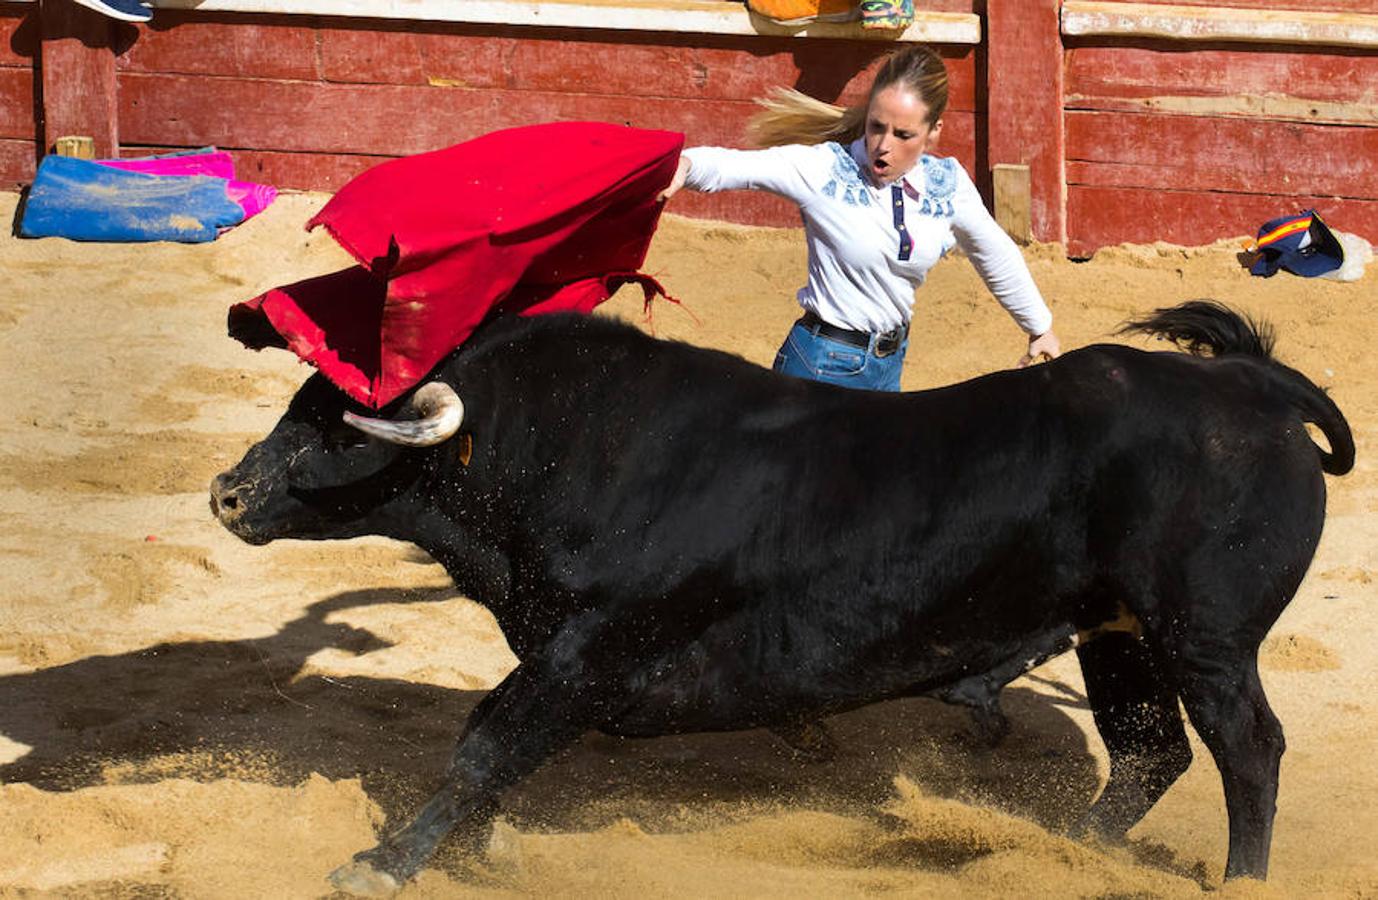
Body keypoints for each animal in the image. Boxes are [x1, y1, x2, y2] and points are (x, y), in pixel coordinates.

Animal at [209, 301, 1350, 893]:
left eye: (340, 427)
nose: (226, 493)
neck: (574, 446)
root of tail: (1249, 385)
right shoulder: (565, 654)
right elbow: (490, 747)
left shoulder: (590, 651)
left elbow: (487, 744)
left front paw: (384, 861)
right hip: (1117, 635)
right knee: (1150, 752)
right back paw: (1069, 851)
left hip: (1205, 638)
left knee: (1246, 748)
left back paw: (1242, 881)